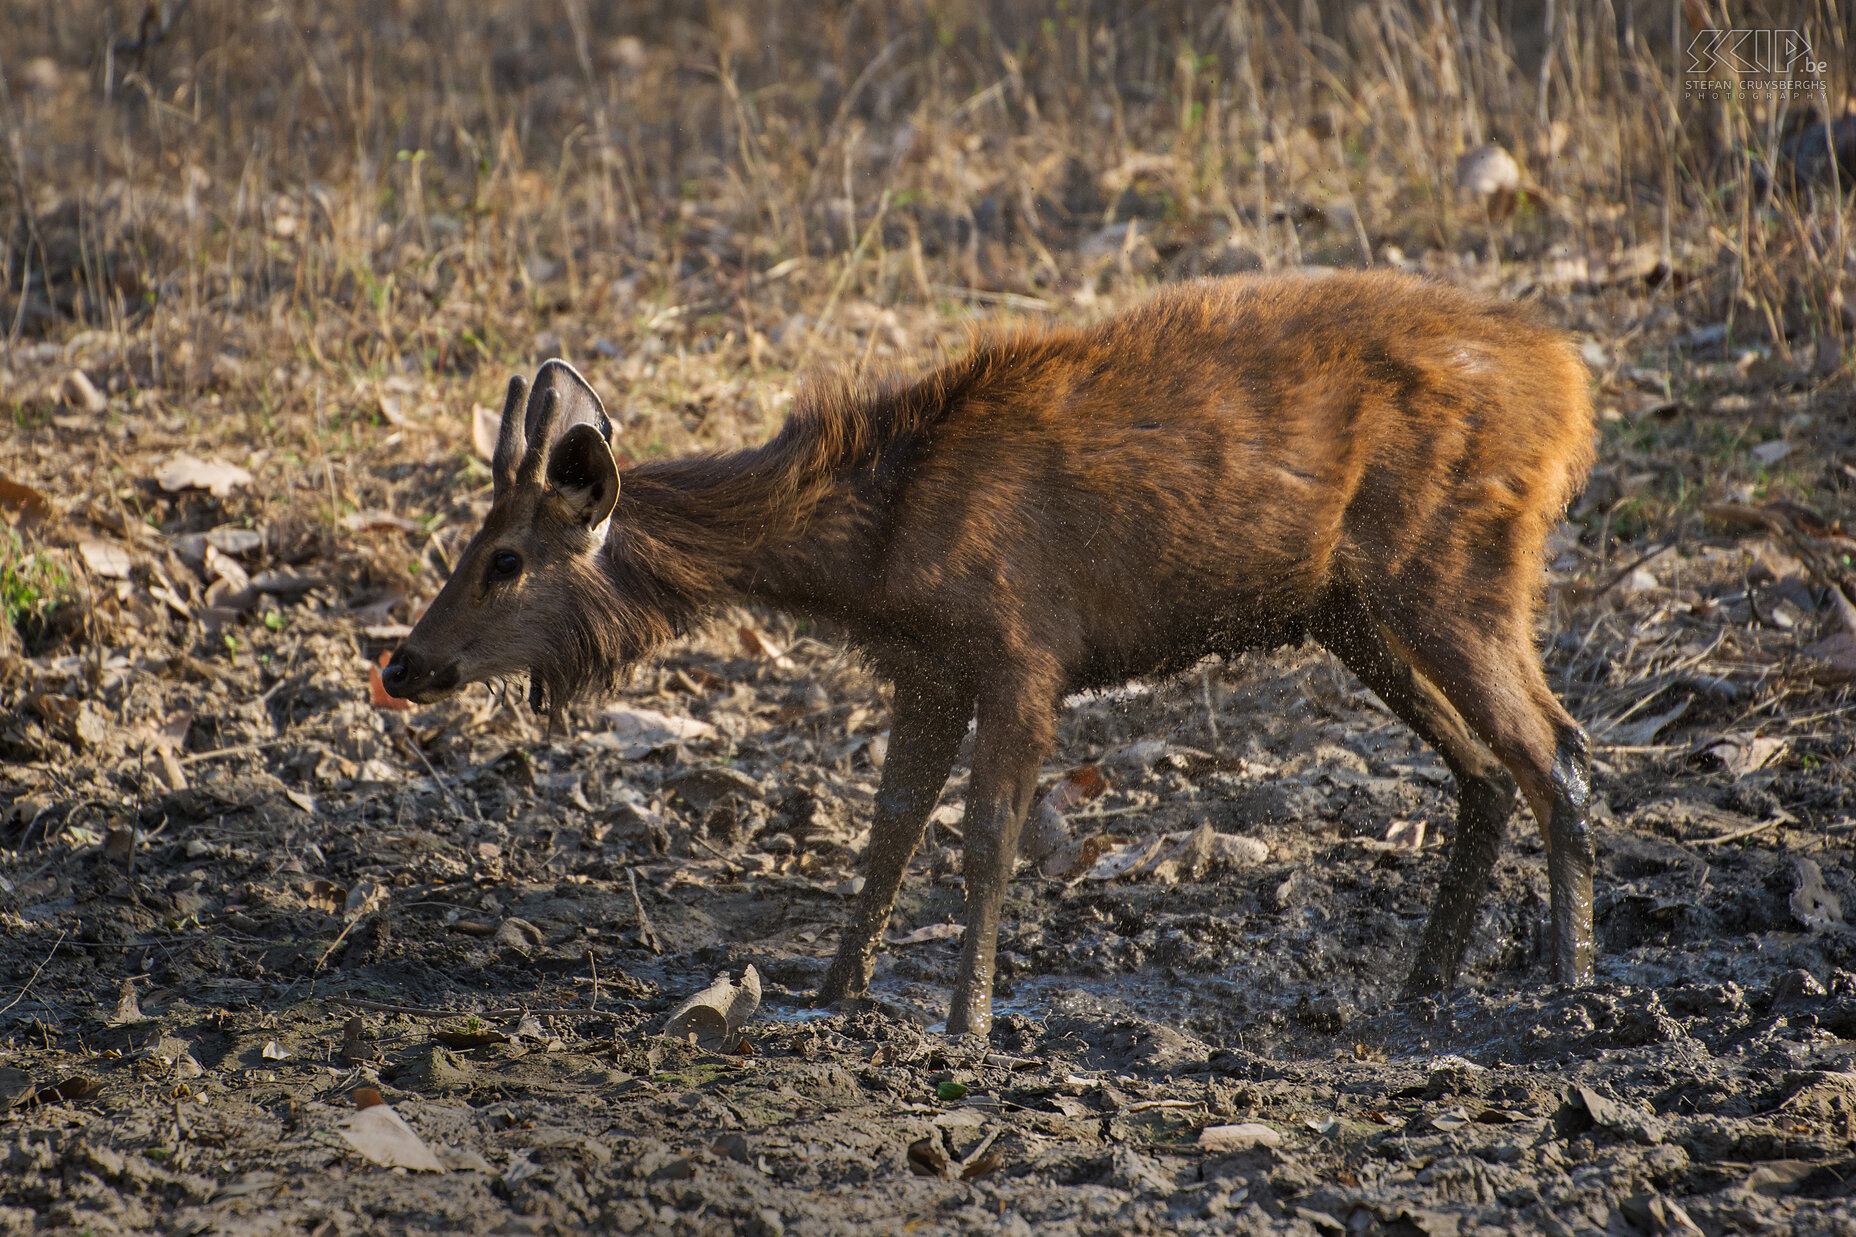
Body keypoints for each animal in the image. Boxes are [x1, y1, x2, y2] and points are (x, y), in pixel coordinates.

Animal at [387, 269, 1596, 1032]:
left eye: (503, 559)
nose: (402, 664)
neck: (873, 547)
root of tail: (1572, 387)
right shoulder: (927, 666)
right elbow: (885, 835)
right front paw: (829, 993)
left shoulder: (1023, 647)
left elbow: (984, 841)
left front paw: (963, 1021)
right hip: (1351, 608)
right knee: (1486, 770)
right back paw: (1425, 985)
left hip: (1460, 564)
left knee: (1556, 750)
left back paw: (1567, 991)